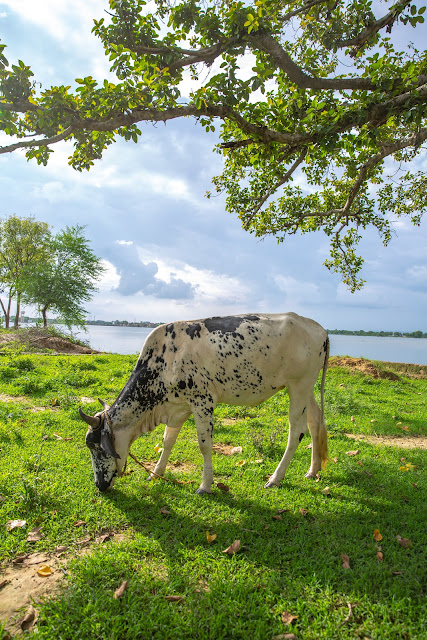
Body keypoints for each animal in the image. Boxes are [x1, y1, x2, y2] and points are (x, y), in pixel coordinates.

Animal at [79, 312, 332, 492]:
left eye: (96, 447)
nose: (99, 485)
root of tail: (319, 329)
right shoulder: (178, 407)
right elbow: (167, 441)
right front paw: (155, 473)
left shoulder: (203, 402)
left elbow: (204, 445)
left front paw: (205, 485)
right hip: (305, 388)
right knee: (315, 421)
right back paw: (312, 470)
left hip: (299, 386)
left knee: (296, 431)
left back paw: (275, 478)